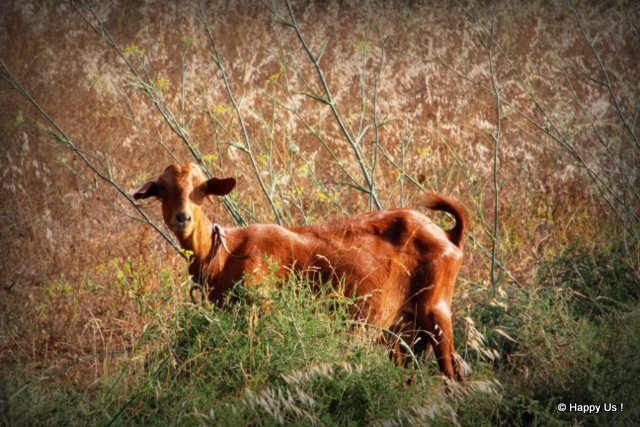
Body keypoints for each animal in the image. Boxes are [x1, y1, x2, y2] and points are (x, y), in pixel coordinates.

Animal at [132, 163, 468, 382]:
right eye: (162, 190)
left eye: (201, 189)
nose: (183, 218)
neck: (225, 254)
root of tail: (448, 236)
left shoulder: (262, 309)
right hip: (402, 327)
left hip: (436, 310)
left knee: (452, 373)